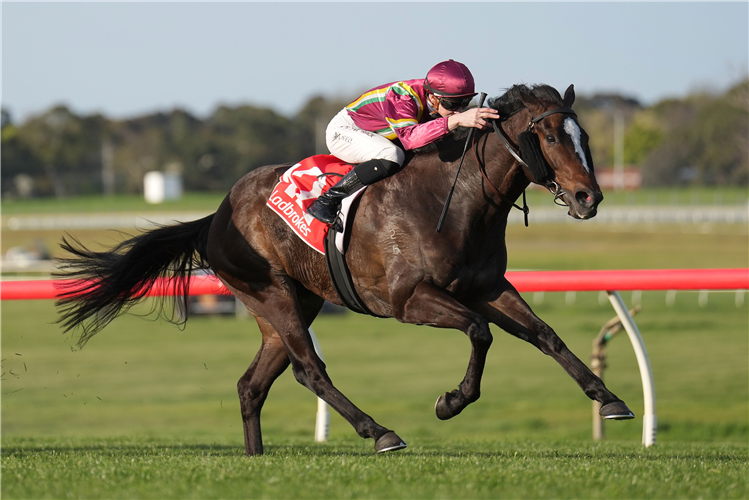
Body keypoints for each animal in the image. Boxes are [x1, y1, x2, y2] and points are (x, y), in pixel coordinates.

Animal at [55, 83, 636, 458]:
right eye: (552, 137)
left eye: (584, 135)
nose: (590, 197)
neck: (456, 200)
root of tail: (217, 215)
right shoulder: (408, 299)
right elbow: (479, 332)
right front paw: (450, 402)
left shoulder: (488, 287)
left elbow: (545, 335)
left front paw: (610, 399)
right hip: (270, 293)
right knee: (309, 369)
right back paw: (379, 432)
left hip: (293, 302)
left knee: (252, 384)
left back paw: (256, 457)